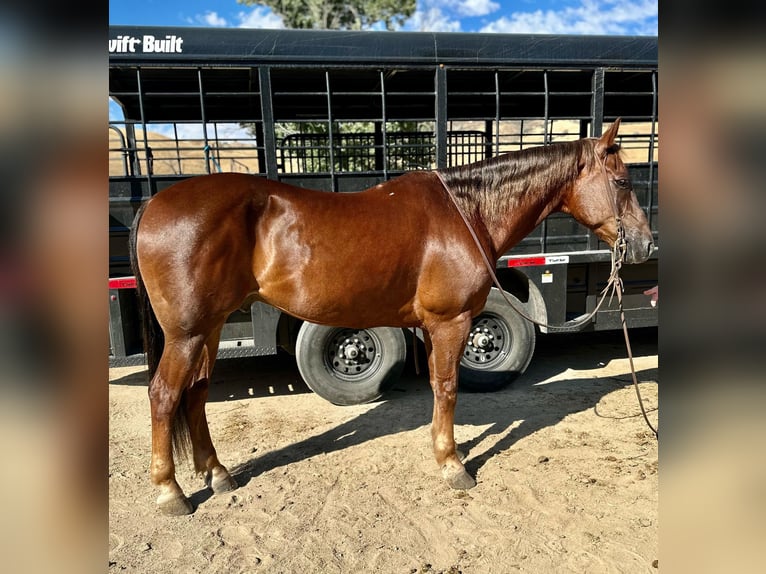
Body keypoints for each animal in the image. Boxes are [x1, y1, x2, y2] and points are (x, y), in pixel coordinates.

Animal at [130, 119, 656, 516]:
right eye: (622, 181)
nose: (645, 245)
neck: (466, 213)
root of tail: (153, 203)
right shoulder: (451, 322)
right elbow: (447, 387)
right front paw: (452, 463)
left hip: (210, 328)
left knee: (195, 394)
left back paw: (218, 475)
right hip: (186, 333)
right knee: (164, 395)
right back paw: (170, 492)